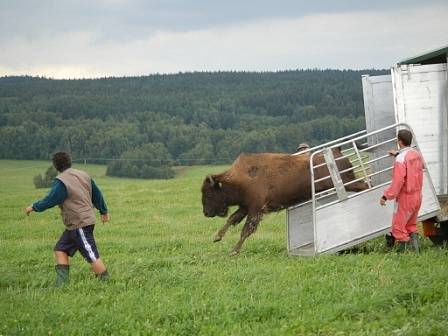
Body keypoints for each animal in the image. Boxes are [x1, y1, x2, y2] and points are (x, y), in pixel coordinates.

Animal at [201, 148, 370, 256]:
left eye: (209, 194)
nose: (206, 213)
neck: (240, 178)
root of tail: (338, 152)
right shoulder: (245, 207)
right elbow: (231, 220)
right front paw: (217, 237)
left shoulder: (255, 209)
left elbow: (245, 230)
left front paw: (233, 251)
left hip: (348, 182)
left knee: (365, 185)